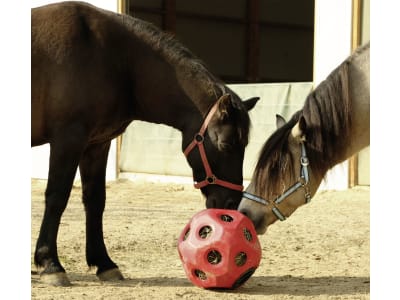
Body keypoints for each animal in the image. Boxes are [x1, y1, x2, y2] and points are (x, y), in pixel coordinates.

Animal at [33, 1, 260, 284]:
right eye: (227, 145)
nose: (231, 205)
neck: (113, 57)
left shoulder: (96, 145)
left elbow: (95, 200)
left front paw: (104, 263)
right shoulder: (68, 139)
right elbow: (57, 197)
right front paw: (50, 264)